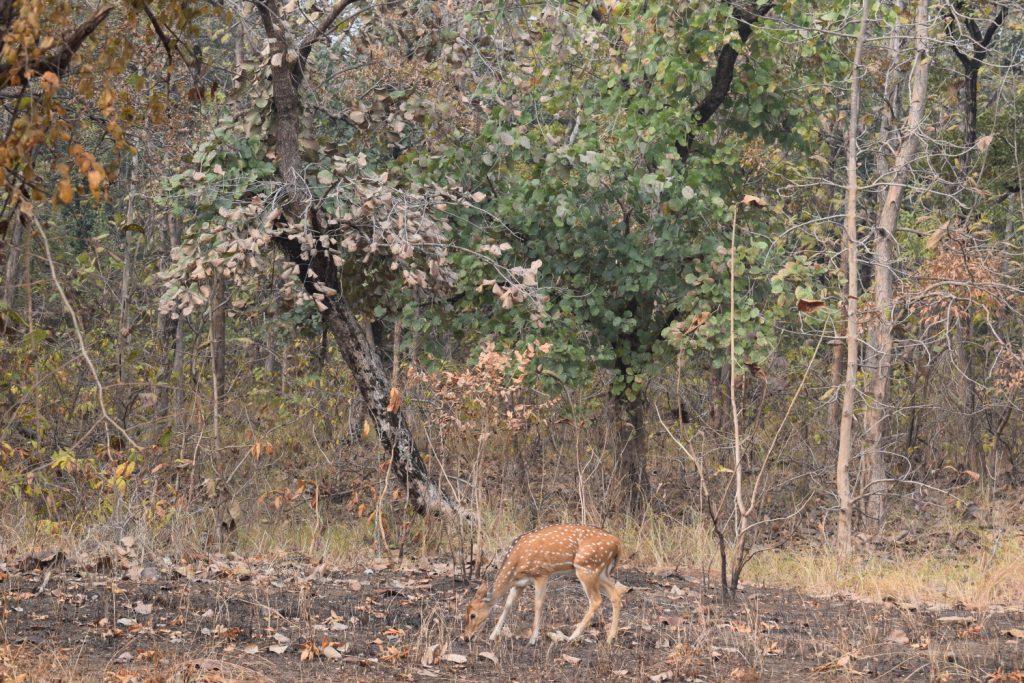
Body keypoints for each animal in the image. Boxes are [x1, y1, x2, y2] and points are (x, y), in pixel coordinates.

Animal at [460, 524, 630, 645]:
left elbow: (538, 603)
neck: (517, 561)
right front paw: (492, 635)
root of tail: (618, 544)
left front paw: (533, 639)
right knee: (616, 595)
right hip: (601, 572)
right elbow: (508, 605)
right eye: (466, 613)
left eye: (473, 615)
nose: (466, 637)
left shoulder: (541, 573)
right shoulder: (520, 583)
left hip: (587, 567)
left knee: (596, 600)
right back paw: (610, 637)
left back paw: (572, 637)